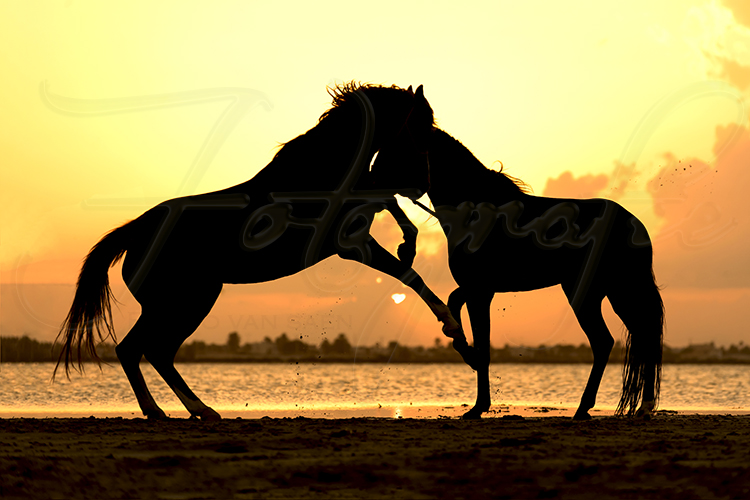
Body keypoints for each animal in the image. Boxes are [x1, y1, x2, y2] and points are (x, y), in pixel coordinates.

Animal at [53, 84, 464, 420]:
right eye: (421, 128)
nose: (422, 185)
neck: (315, 175)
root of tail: (136, 232)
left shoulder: (359, 229)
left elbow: (391, 210)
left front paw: (409, 245)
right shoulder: (351, 244)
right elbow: (409, 271)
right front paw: (450, 322)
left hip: (177, 303)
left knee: (148, 351)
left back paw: (189, 411)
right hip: (185, 301)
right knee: (142, 349)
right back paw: (177, 410)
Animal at [374, 128, 664, 418]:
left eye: (396, 149)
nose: (371, 185)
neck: (476, 209)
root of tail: (634, 224)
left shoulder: (480, 291)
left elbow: (483, 344)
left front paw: (478, 405)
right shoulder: (478, 287)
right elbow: (454, 305)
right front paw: (464, 348)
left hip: (593, 292)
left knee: (608, 341)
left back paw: (592, 408)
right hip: (611, 292)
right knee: (638, 336)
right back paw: (637, 406)